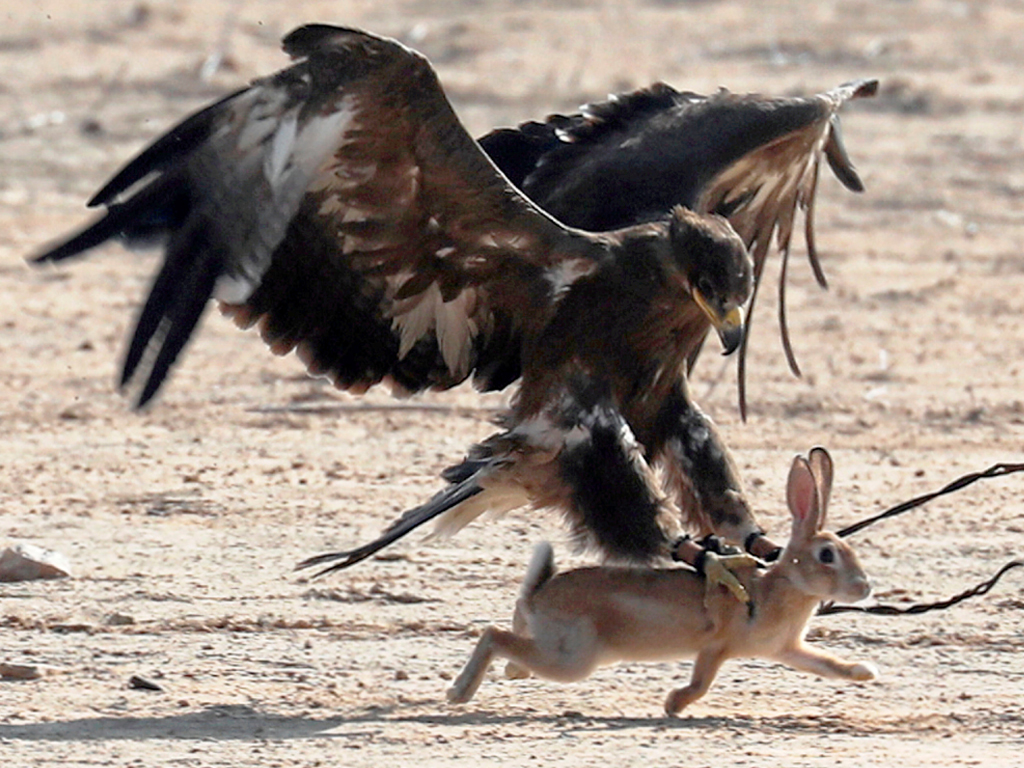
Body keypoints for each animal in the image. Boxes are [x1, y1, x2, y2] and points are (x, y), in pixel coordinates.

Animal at [447, 447, 878, 715]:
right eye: (827, 555)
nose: (864, 587)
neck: (776, 588)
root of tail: (540, 598)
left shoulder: (786, 650)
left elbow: (825, 665)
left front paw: (863, 672)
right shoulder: (717, 647)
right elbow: (702, 682)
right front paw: (673, 704)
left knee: (512, 634)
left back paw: (509, 673)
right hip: (573, 659)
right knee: (494, 635)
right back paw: (458, 692)